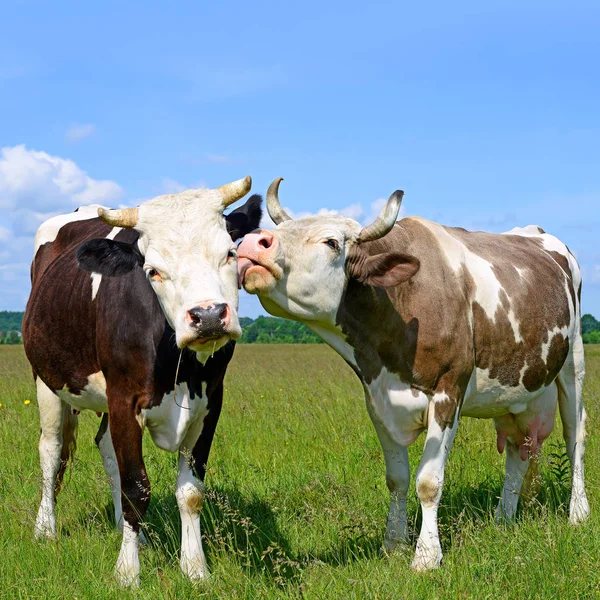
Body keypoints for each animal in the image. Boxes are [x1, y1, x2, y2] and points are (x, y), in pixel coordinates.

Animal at [22, 178, 262, 584]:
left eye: (230, 253)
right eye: (152, 271)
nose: (208, 316)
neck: (180, 366)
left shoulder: (211, 402)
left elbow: (190, 492)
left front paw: (195, 568)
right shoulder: (125, 399)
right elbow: (136, 487)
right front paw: (127, 573)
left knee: (105, 449)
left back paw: (132, 532)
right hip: (47, 380)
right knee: (51, 451)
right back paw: (46, 529)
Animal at [237, 178, 588, 572]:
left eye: (331, 242)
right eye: (282, 230)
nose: (253, 242)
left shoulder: (448, 392)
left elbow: (428, 482)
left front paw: (426, 556)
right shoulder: (377, 401)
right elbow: (397, 479)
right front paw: (393, 543)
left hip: (573, 362)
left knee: (575, 435)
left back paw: (578, 513)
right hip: (516, 389)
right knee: (517, 448)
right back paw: (503, 519)